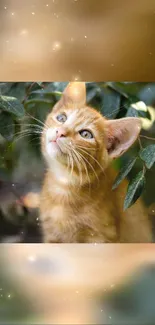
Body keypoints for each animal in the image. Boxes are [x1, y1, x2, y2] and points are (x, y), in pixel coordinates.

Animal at [39, 82, 152, 242]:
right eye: (61, 118)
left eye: (86, 134)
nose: (60, 132)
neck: (64, 184)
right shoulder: (51, 237)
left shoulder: (101, 237)